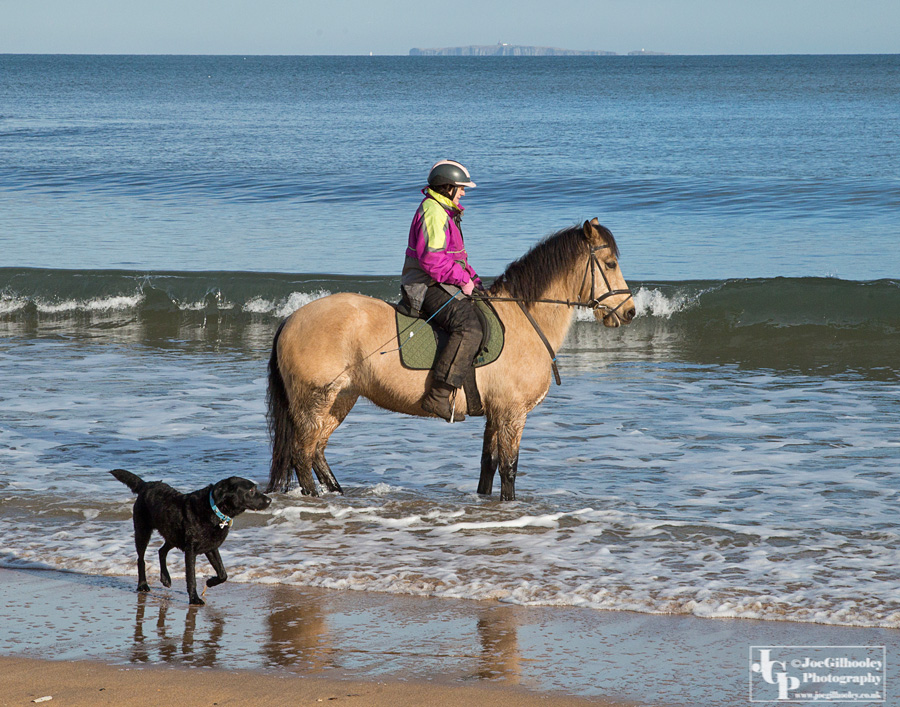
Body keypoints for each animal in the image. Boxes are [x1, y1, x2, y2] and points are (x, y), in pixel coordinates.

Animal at [266, 218, 635, 501]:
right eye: (611, 264)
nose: (630, 312)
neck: (523, 319)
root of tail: (292, 318)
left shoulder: (496, 414)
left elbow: (488, 466)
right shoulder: (512, 413)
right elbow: (509, 469)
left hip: (340, 398)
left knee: (316, 452)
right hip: (315, 400)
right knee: (302, 455)